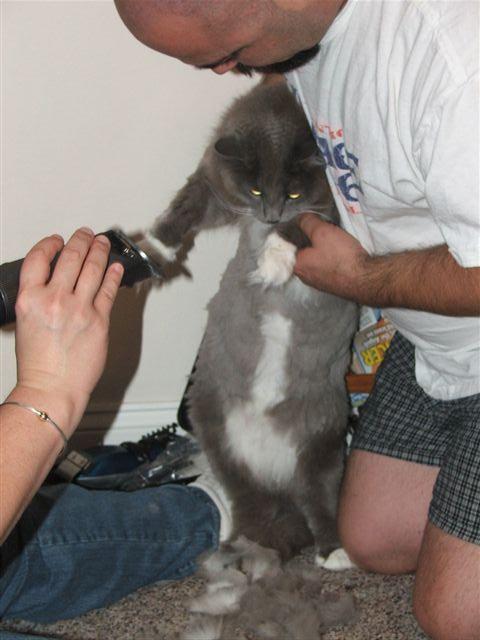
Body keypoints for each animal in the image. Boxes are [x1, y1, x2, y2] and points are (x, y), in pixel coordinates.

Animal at [146, 82, 359, 564]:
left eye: (293, 195)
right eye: (257, 190)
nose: (271, 215)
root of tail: (275, 474)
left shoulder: (329, 217)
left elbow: (299, 228)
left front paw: (273, 265)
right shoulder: (217, 184)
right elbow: (186, 207)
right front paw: (153, 245)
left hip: (324, 442)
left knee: (320, 499)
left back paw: (334, 553)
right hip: (218, 433)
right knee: (252, 505)